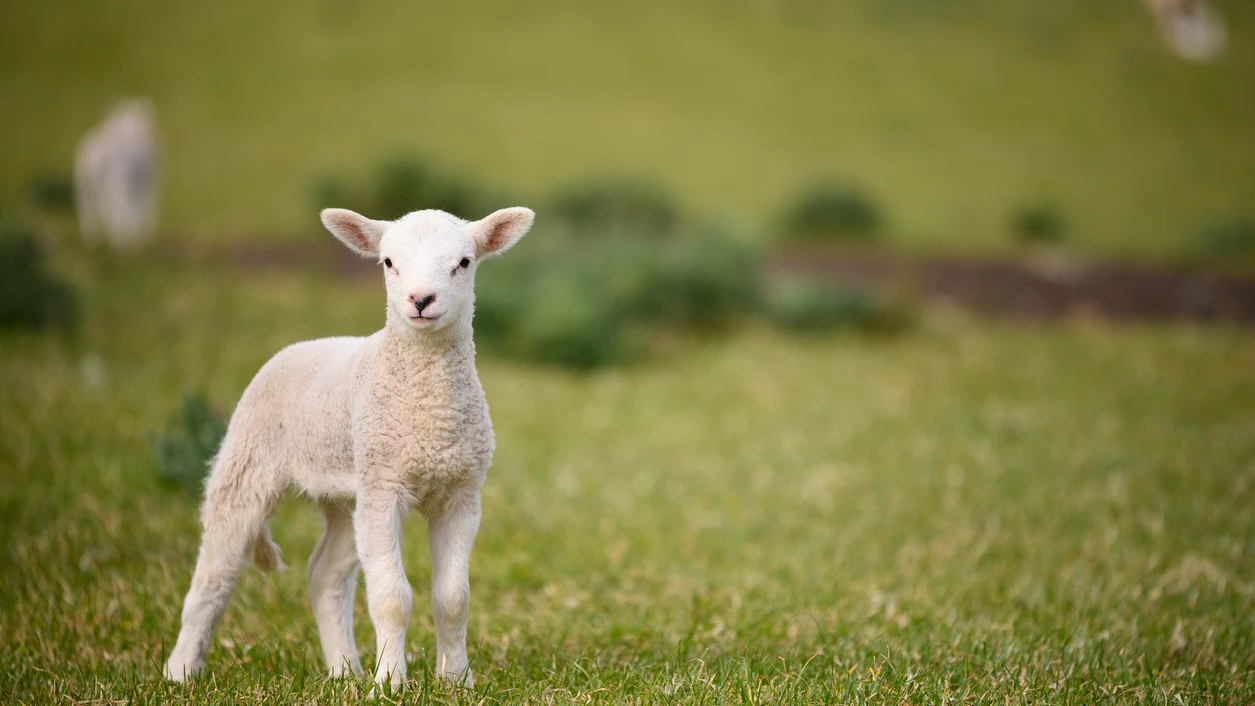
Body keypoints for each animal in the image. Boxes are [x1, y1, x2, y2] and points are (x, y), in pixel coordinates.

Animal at [75, 99, 159, 249]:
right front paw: (143, 237)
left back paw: (94, 242)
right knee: (118, 208)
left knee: (91, 211)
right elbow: (145, 206)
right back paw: (121, 243)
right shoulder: (150, 180)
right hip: (117, 182)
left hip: (85, 187)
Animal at [163, 205, 535, 689]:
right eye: (388, 262)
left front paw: (456, 681)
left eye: (464, 262)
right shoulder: (384, 487)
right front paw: (391, 683)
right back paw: (180, 671)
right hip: (249, 460)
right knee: (216, 572)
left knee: (325, 575)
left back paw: (344, 671)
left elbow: (453, 598)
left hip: (347, 493)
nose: (420, 300)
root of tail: (309, 344)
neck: (429, 411)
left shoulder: (460, 493)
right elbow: (391, 596)